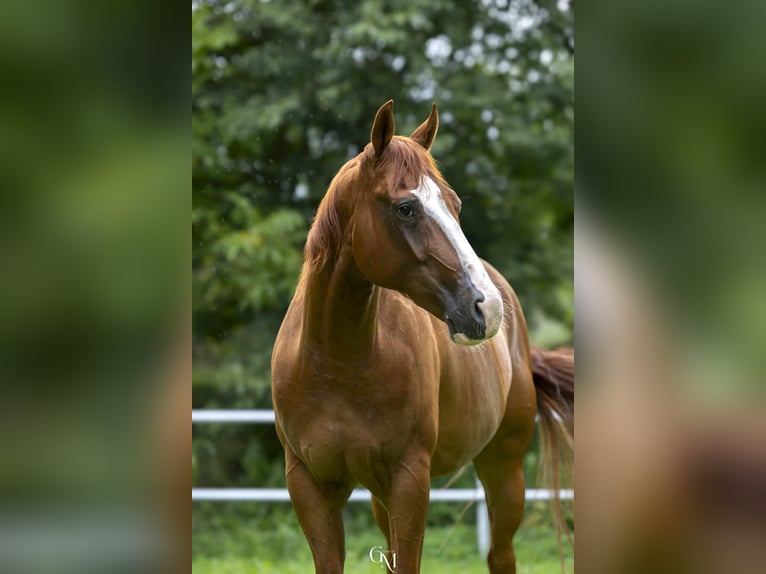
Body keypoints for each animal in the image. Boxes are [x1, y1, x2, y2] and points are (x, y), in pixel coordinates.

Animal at [271, 100, 573, 574]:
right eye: (405, 208)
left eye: (455, 204)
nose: (486, 307)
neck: (336, 364)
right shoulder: (309, 486)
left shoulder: (409, 481)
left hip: (504, 470)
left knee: (501, 555)